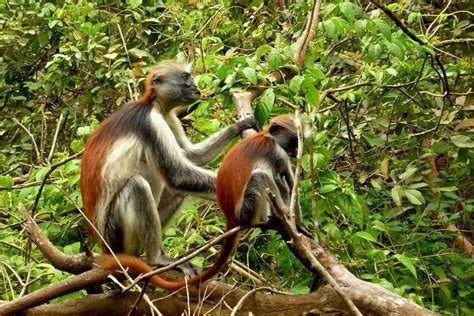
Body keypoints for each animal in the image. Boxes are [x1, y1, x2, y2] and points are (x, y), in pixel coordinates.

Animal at [82, 60, 260, 278]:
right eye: (185, 78)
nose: (195, 86)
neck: (156, 105)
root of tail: (104, 246)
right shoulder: (151, 124)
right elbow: (178, 175)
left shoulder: (169, 117)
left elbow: (191, 156)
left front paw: (239, 126)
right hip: (115, 233)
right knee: (137, 186)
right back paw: (156, 258)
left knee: (178, 192)